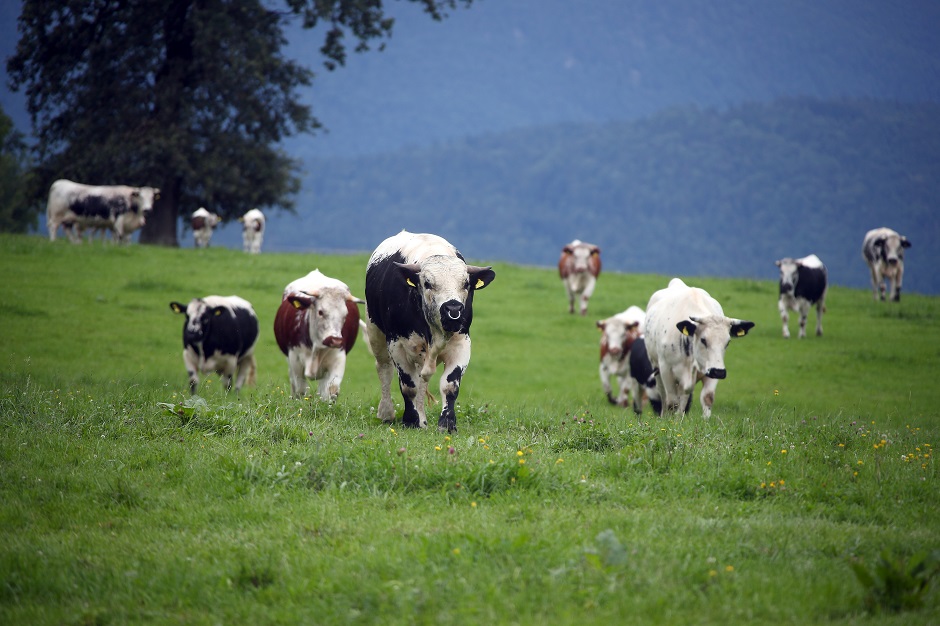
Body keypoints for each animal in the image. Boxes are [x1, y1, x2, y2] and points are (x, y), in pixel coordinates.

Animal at [272, 268, 364, 400]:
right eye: (320, 312)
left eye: (345, 315)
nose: (335, 340)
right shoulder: (295, 361)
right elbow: (300, 391)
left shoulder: (338, 358)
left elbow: (330, 391)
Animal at [648, 276, 756, 414]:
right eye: (703, 340)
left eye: (728, 342)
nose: (719, 373)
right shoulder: (666, 369)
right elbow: (671, 402)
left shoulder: (712, 369)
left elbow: (707, 398)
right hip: (656, 367)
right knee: (664, 396)